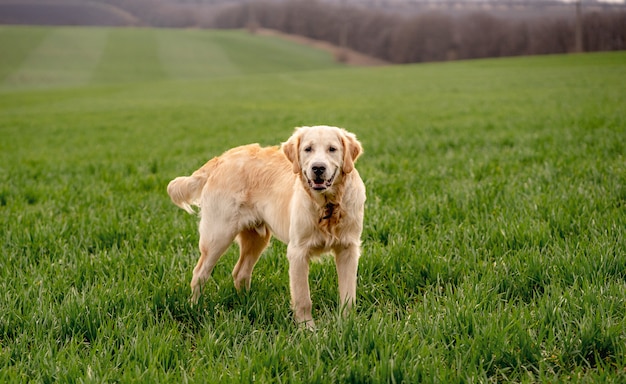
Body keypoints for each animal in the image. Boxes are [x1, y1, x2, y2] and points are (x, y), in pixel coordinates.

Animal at [166, 126, 366, 328]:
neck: (327, 206)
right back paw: (194, 308)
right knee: (200, 273)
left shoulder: (348, 249)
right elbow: (303, 298)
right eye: (308, 149)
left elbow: (349, 295)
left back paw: (246, 304)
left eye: (332, 149)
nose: (318, 168)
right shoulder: (298, 252)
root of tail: (221, 159)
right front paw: (307, 328)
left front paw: (348, 324)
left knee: (240, 272)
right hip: (218, 236)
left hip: (257, 238)